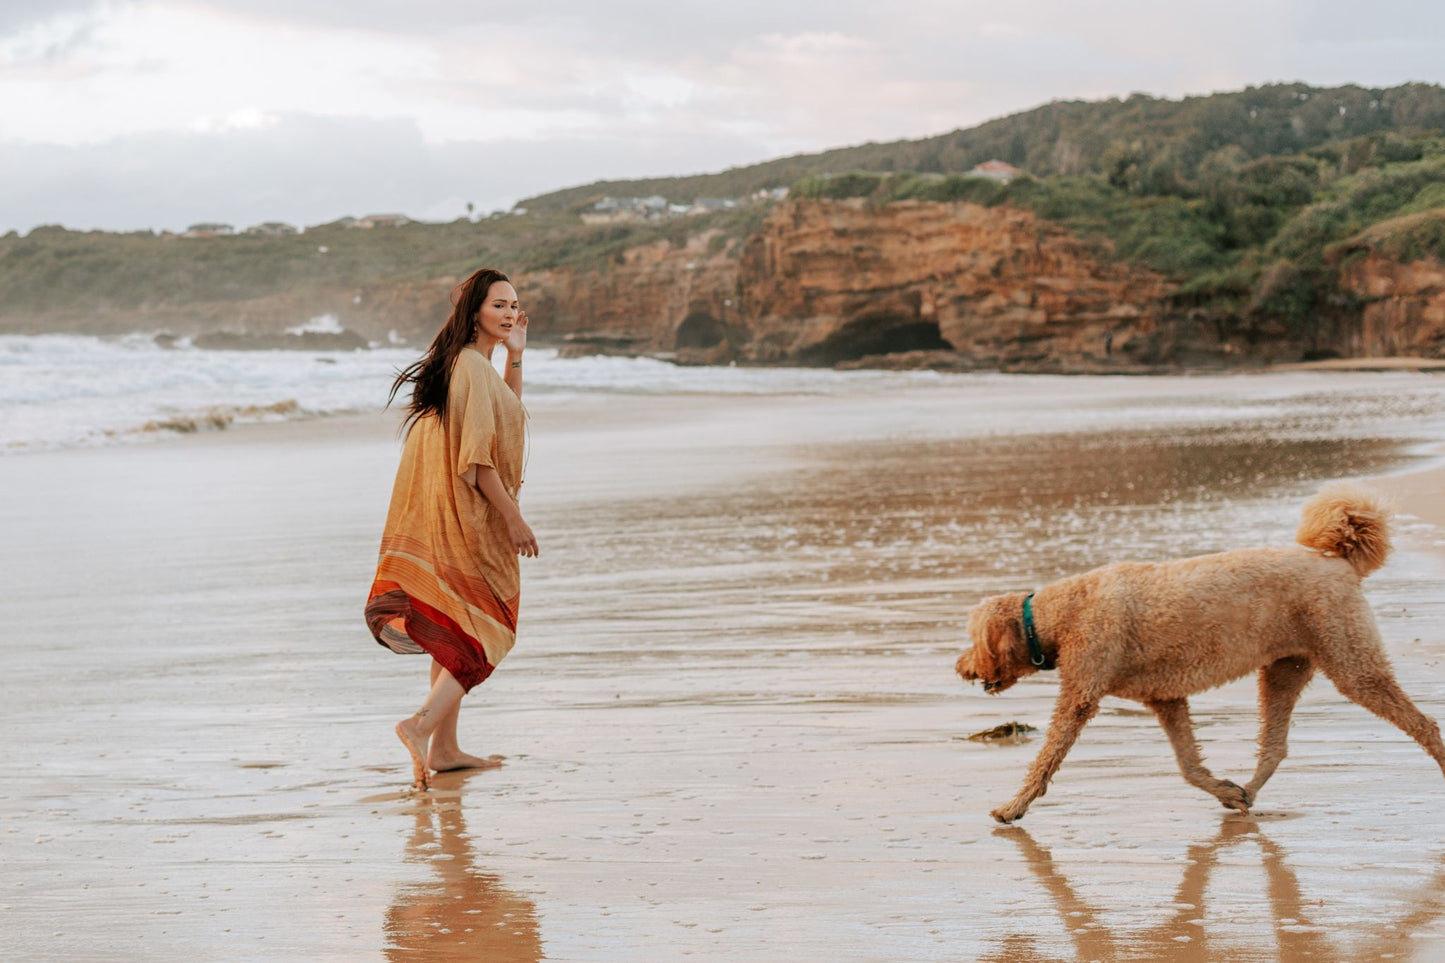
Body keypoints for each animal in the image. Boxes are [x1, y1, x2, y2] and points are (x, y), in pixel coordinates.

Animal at [959, 482, 1445, 821]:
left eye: (972, 639)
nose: (960, 667)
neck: (1057, 615)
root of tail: (1341, 562)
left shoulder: (1079, 696)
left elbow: (1045, 759)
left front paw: (1013, 807)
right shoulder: (1167, 699)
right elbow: (1189, 764)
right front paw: (1225, 791)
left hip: (1352, 661)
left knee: (1424, 724)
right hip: (1283, 670)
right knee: (1275, 747)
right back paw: (1247, 792)